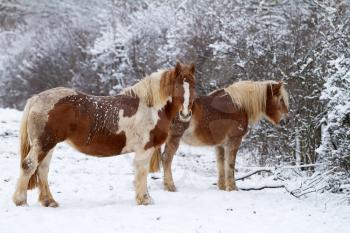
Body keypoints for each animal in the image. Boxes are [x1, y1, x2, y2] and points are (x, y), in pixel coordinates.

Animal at [12, 62, 196, 207]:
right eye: (178, 86)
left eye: (193, 86)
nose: (186, 113)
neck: (150, 107)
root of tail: (36, 99)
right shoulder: (145, 148)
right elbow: (142, 172)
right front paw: (145, 199)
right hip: (44, 143)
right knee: (29, 165)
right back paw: (20, 201)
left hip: (49, 145)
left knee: (42, 169)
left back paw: (49, 201)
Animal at [150, 80, 290, 191]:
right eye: (281, 99)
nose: (286, 120)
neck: (240, 105)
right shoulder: (234, 140)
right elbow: (231, 164)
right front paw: (233, 188)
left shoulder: (220, 145)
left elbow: (221, 163)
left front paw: (222, 186)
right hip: (174, 137)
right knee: (166, 158)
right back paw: (170, 187)